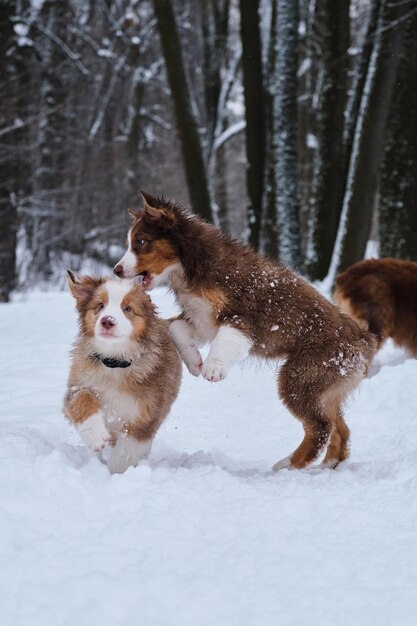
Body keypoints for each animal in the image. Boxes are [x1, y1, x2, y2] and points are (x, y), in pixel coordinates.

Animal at [63, 270, 180, 470]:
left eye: (128, 308)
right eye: (100, 305)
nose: (107, 321)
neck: (115, 362)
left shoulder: (145, 418)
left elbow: (126, 452)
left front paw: (114, 474)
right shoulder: (77, 385)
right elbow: (82, 398)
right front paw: (95, 436)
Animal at [114, 193, 376, 470]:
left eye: (141, 242)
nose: (116, 270)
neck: (190, 265)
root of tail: (364, 340)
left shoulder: (242, 316)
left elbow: (226, 339)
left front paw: (213, 369)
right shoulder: (202, 319)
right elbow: (176, 327)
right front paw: (194, 362)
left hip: (303, 375)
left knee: (320, 427)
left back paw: (287, 465)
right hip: (326, 385)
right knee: (340, 428)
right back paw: (328, 464)